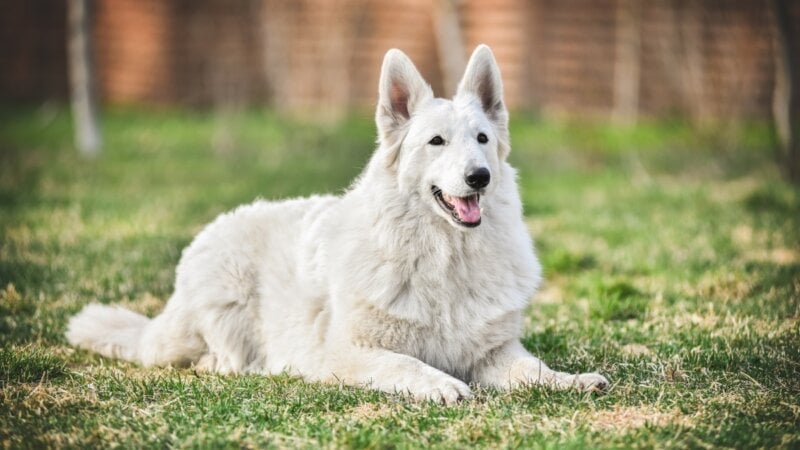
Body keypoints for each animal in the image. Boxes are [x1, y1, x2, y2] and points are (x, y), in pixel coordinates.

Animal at [67, 46, 608, 404]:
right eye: (436, 142)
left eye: (482, 139)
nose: (480, 176)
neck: (443, 259)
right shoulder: (346, 352)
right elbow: (404, 361)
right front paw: (441, 384)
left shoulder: (495, 352)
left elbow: (533, 368)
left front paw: (572, 380)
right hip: (223, 303)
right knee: (207, 356)